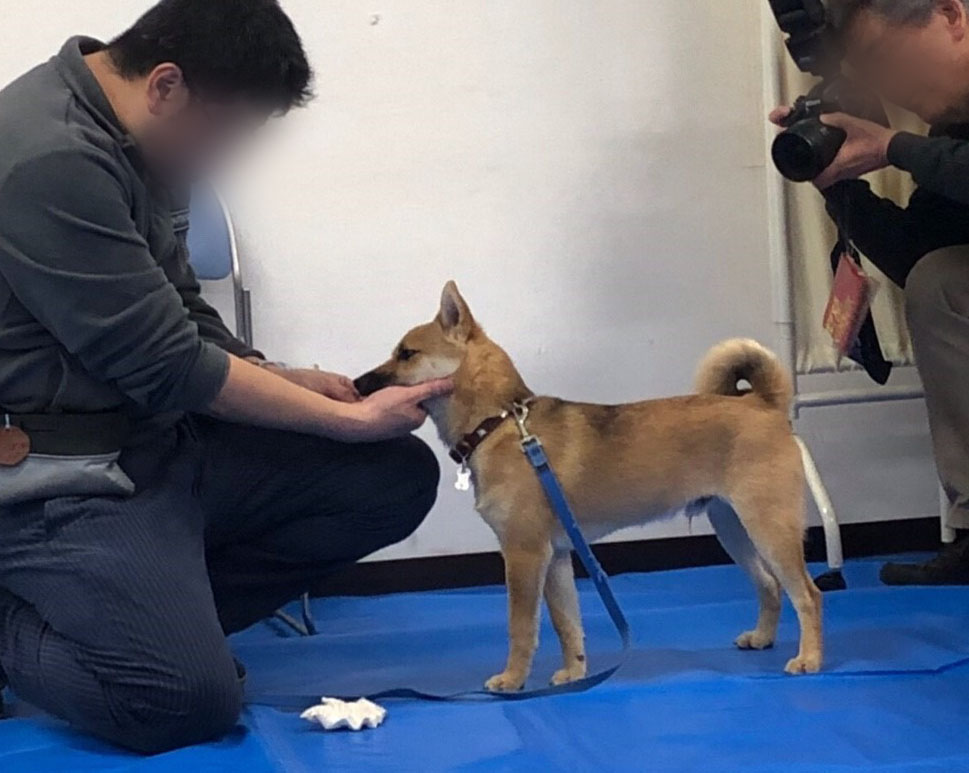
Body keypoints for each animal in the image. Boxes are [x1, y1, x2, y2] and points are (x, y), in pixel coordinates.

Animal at [355, 282, 822, 691]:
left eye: (407, 353)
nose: (358, 384)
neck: (500, 424)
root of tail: (763, 404)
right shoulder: (558, 558)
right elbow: (568, 625)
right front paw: (575, 673)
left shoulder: (524, 555)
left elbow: (521, 627)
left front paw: (512, 680)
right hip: (734, 529)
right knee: (770, 585)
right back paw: (762, 637)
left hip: (769, 528)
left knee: (808, 594)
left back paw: (809, 659)